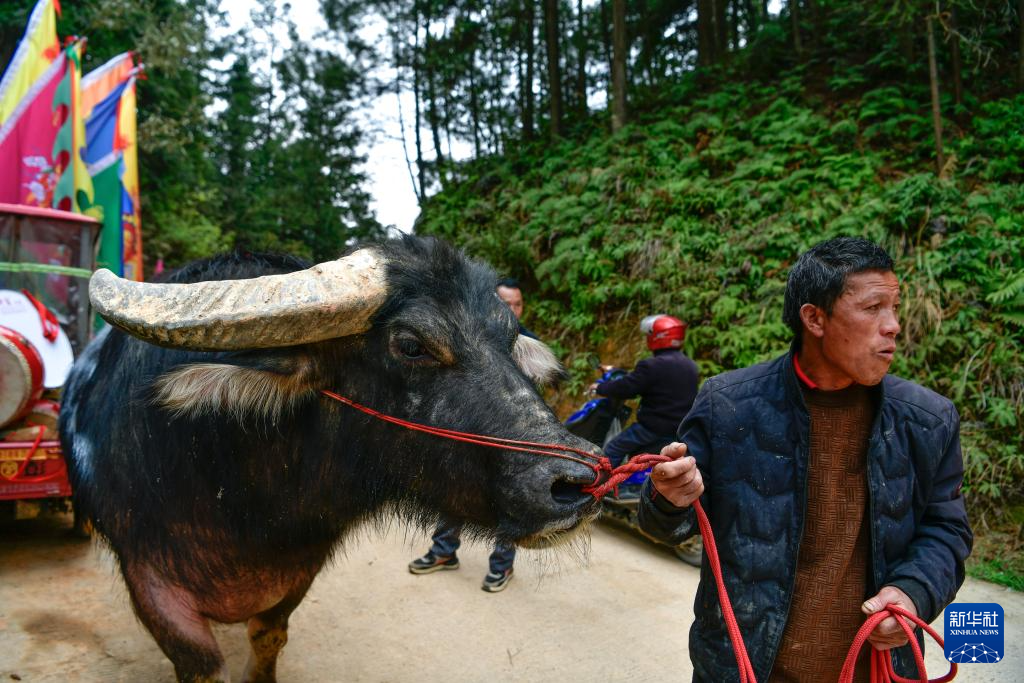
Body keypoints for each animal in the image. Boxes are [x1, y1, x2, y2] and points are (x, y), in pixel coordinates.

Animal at [59, 236, 602, 683]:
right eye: (411, 345)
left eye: (508, 339)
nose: (576, 481)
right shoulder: (150, 584)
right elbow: (200, 664)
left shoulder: (300, 569)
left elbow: (269, 637)